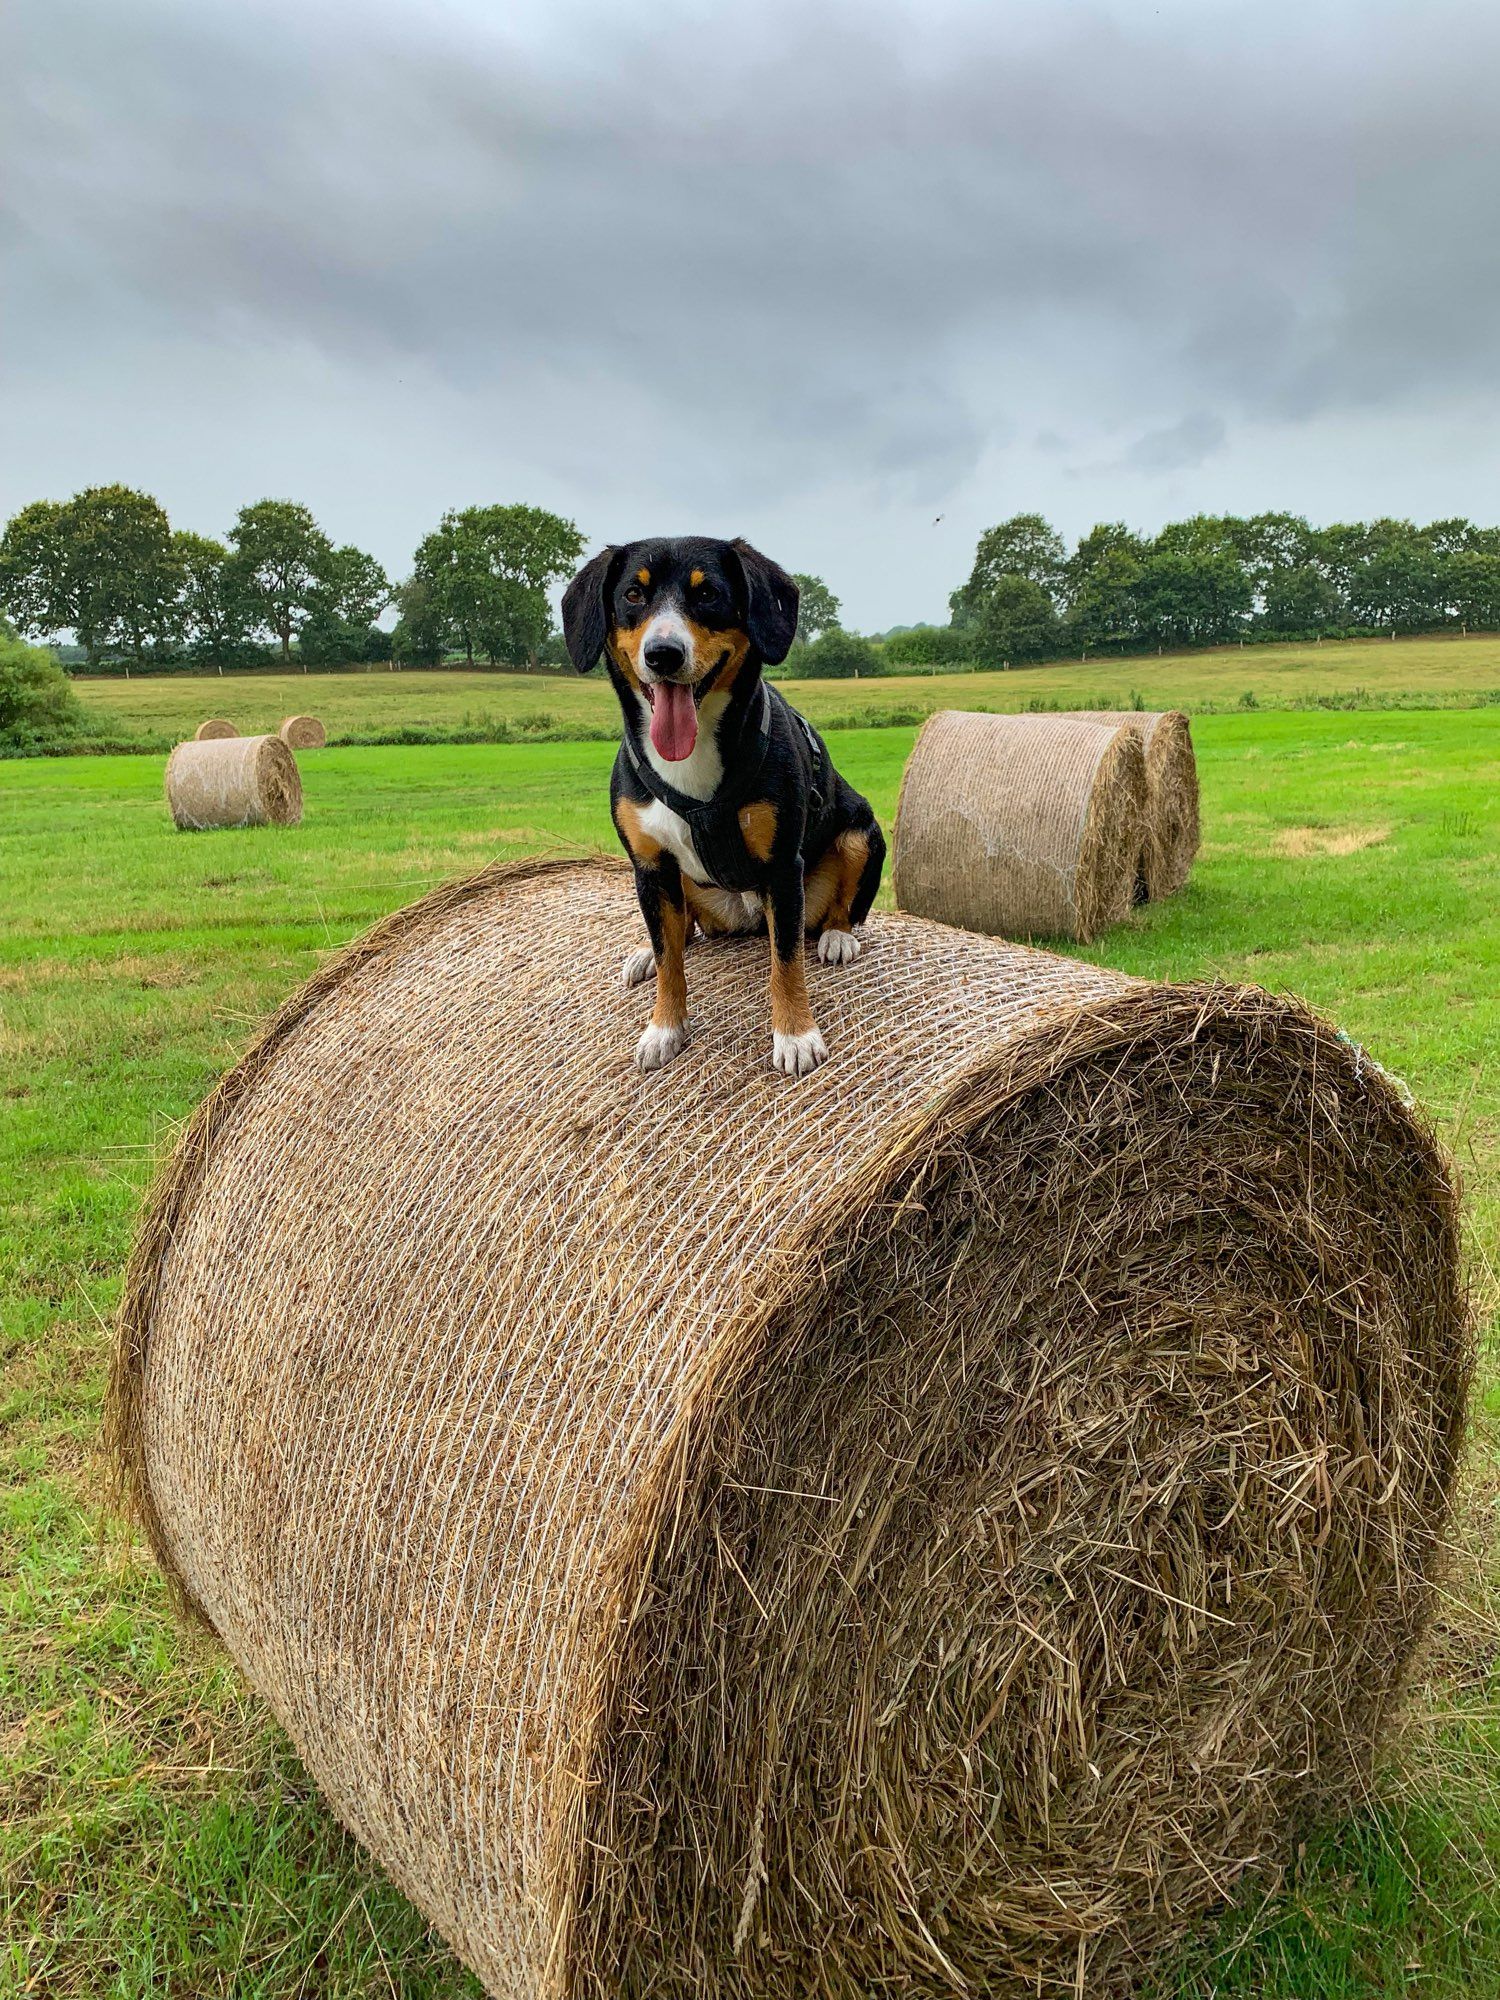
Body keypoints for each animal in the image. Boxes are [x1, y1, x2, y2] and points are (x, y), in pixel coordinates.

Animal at [564, 536, 892, 1080]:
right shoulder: (649, 866)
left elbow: (786, 960)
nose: (663, 654)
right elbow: (670, 959)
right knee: (679, 933)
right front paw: (664, 1028)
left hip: (860, 832)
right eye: (633, 594)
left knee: (837, 910)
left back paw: (837, 937)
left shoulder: (783, 867)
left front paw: (795, 1035)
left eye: (708, 594)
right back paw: (646, 953)